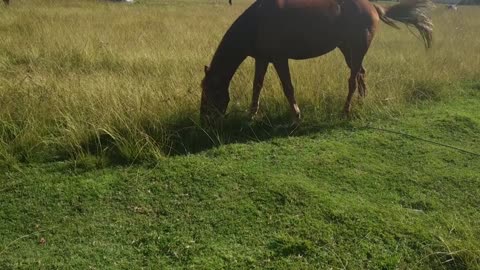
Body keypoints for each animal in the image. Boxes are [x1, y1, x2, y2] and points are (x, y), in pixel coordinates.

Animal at [201, 0, 434, 124]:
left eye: (210, 91)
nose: (204, 119)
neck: (257, 22)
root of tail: (374, 7)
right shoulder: (262, 58)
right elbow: (257, 86)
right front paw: (251, 115)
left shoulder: (279, 59)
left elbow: (288, 87)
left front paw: (296, 115)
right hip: (348, 49)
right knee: (361, 73)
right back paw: (361, 102)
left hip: (357, 48)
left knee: (352, 79)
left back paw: (346, 111)